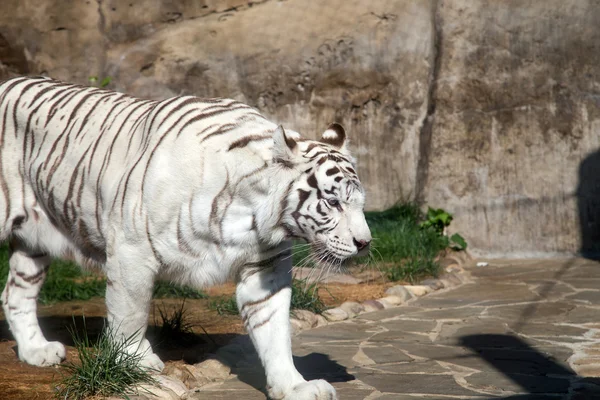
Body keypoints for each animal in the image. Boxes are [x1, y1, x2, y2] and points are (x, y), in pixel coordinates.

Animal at [0, 76, 370, 400]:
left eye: (359, 203)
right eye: (333, 203)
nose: (365, 243)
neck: (252, 214)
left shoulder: (266, 269)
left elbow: (274, 331)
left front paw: (294, 386)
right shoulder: (132, 251)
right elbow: (130, 312)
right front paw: (138, 362)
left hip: (33, 244)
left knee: (15, 294)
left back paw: (37, 351)